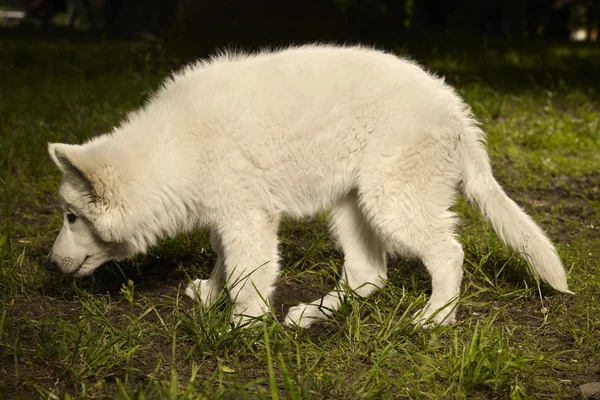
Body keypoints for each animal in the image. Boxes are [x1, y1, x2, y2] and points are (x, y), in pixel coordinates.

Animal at [47, 44, 572, 328]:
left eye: (73, 217)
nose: (50, 265)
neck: (175, 148)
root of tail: (459, 113)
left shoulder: (247, 214)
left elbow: (247, 272)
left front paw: (241, 327)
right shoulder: (228, 212)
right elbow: (224, 260)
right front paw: (213, 295)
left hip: (391, 198)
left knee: (447, 253)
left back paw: (435, 318)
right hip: (350, 205)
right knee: (368, 274)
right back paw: (311, 315)